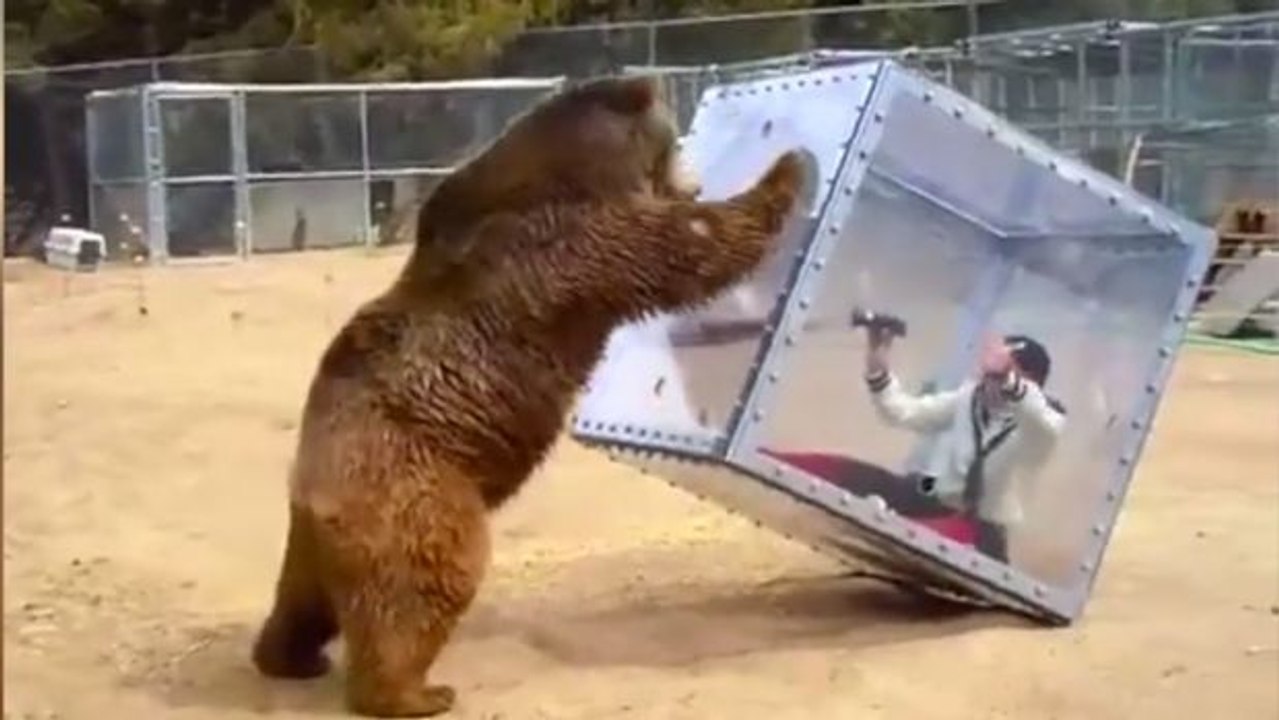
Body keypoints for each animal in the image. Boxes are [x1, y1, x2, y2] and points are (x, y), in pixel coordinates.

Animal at [249, 73, 808, 718]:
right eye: (673, 139)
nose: (693, 175)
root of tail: (315, 492)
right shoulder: (576, 243)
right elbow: (690, 246)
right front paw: (791, 166)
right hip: (416, 492)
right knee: (424, 586)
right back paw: (415, 691)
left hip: (319, 537)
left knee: (302, 600)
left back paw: (290, 657)